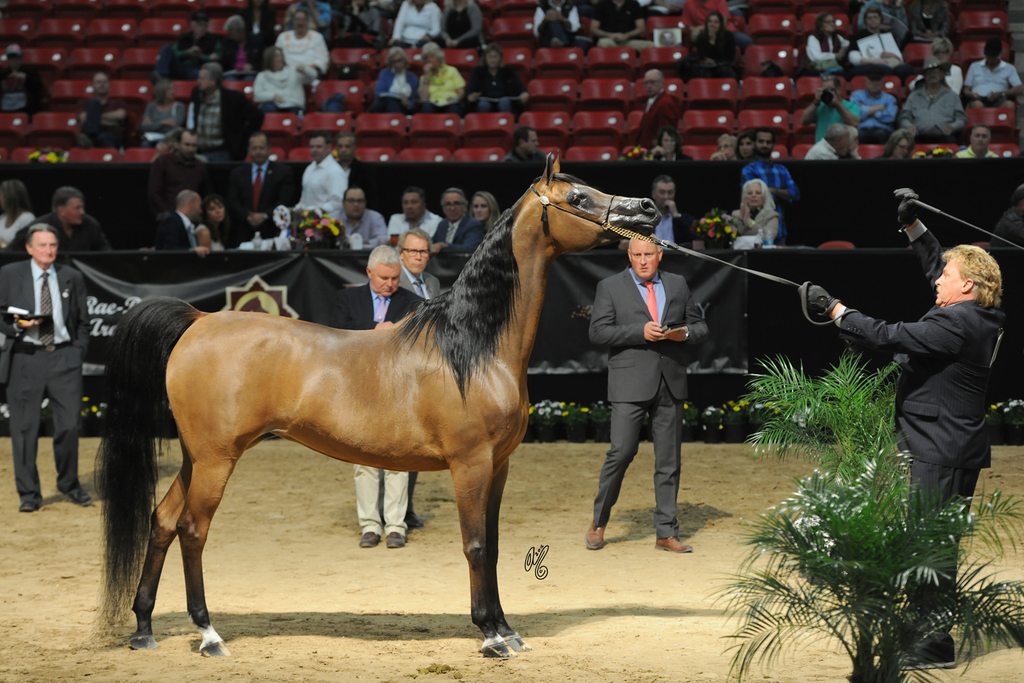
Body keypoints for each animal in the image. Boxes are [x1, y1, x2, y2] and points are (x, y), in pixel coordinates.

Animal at [98, 155, 660, 660]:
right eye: (578, 198)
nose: (648, 209)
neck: (473, 346)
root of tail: (199, 320)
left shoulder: (498, 466)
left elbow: (495, 544)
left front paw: (507, 628)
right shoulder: (470, 465)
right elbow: (476, 545)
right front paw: (490, 635)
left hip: (196, 456)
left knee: (162, 520)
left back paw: (144, 628)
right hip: (216, 459)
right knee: (192, 530)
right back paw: (208, 634)